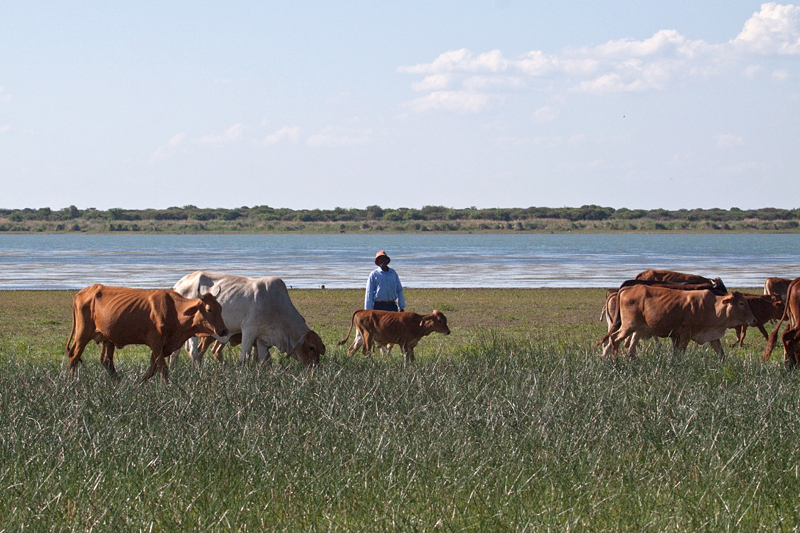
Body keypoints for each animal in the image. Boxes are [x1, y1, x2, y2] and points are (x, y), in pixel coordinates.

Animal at [172, 270, 324, 366]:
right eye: (311, 347)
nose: (314, 368)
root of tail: (178, 285)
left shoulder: (263, 339)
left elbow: (264, 360)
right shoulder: (249, 330)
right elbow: (244, 357)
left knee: (176, 352)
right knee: (193, 352)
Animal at [608, 284, 756, 360]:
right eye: (741, 303)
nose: (753, 320)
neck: (712, 308)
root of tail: (628, 289)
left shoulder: (713, 337)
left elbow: (721, 353)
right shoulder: (685, 335)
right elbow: (680, 353)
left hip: (638, 329)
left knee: (629, 347)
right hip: (629, 326)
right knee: (615, 339)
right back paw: (615, 361)